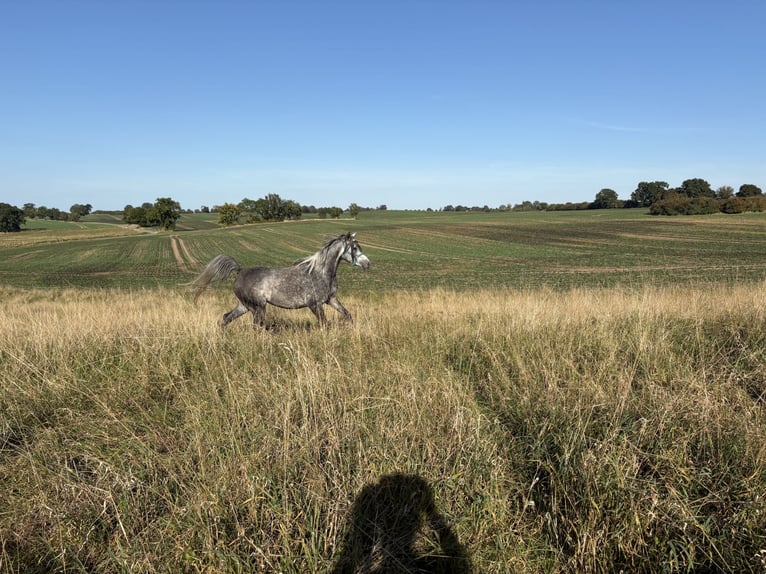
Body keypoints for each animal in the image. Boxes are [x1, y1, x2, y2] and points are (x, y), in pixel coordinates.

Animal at [190, 232, 370, 329]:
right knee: (256, 326)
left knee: (226, 318)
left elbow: (348, 315)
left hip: (244, 306)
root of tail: (240, 271)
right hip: (258, 307)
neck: (321, 273)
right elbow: (324, 323)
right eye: (354, 248)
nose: (367, 264)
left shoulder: (331, 300)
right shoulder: (314, 305)